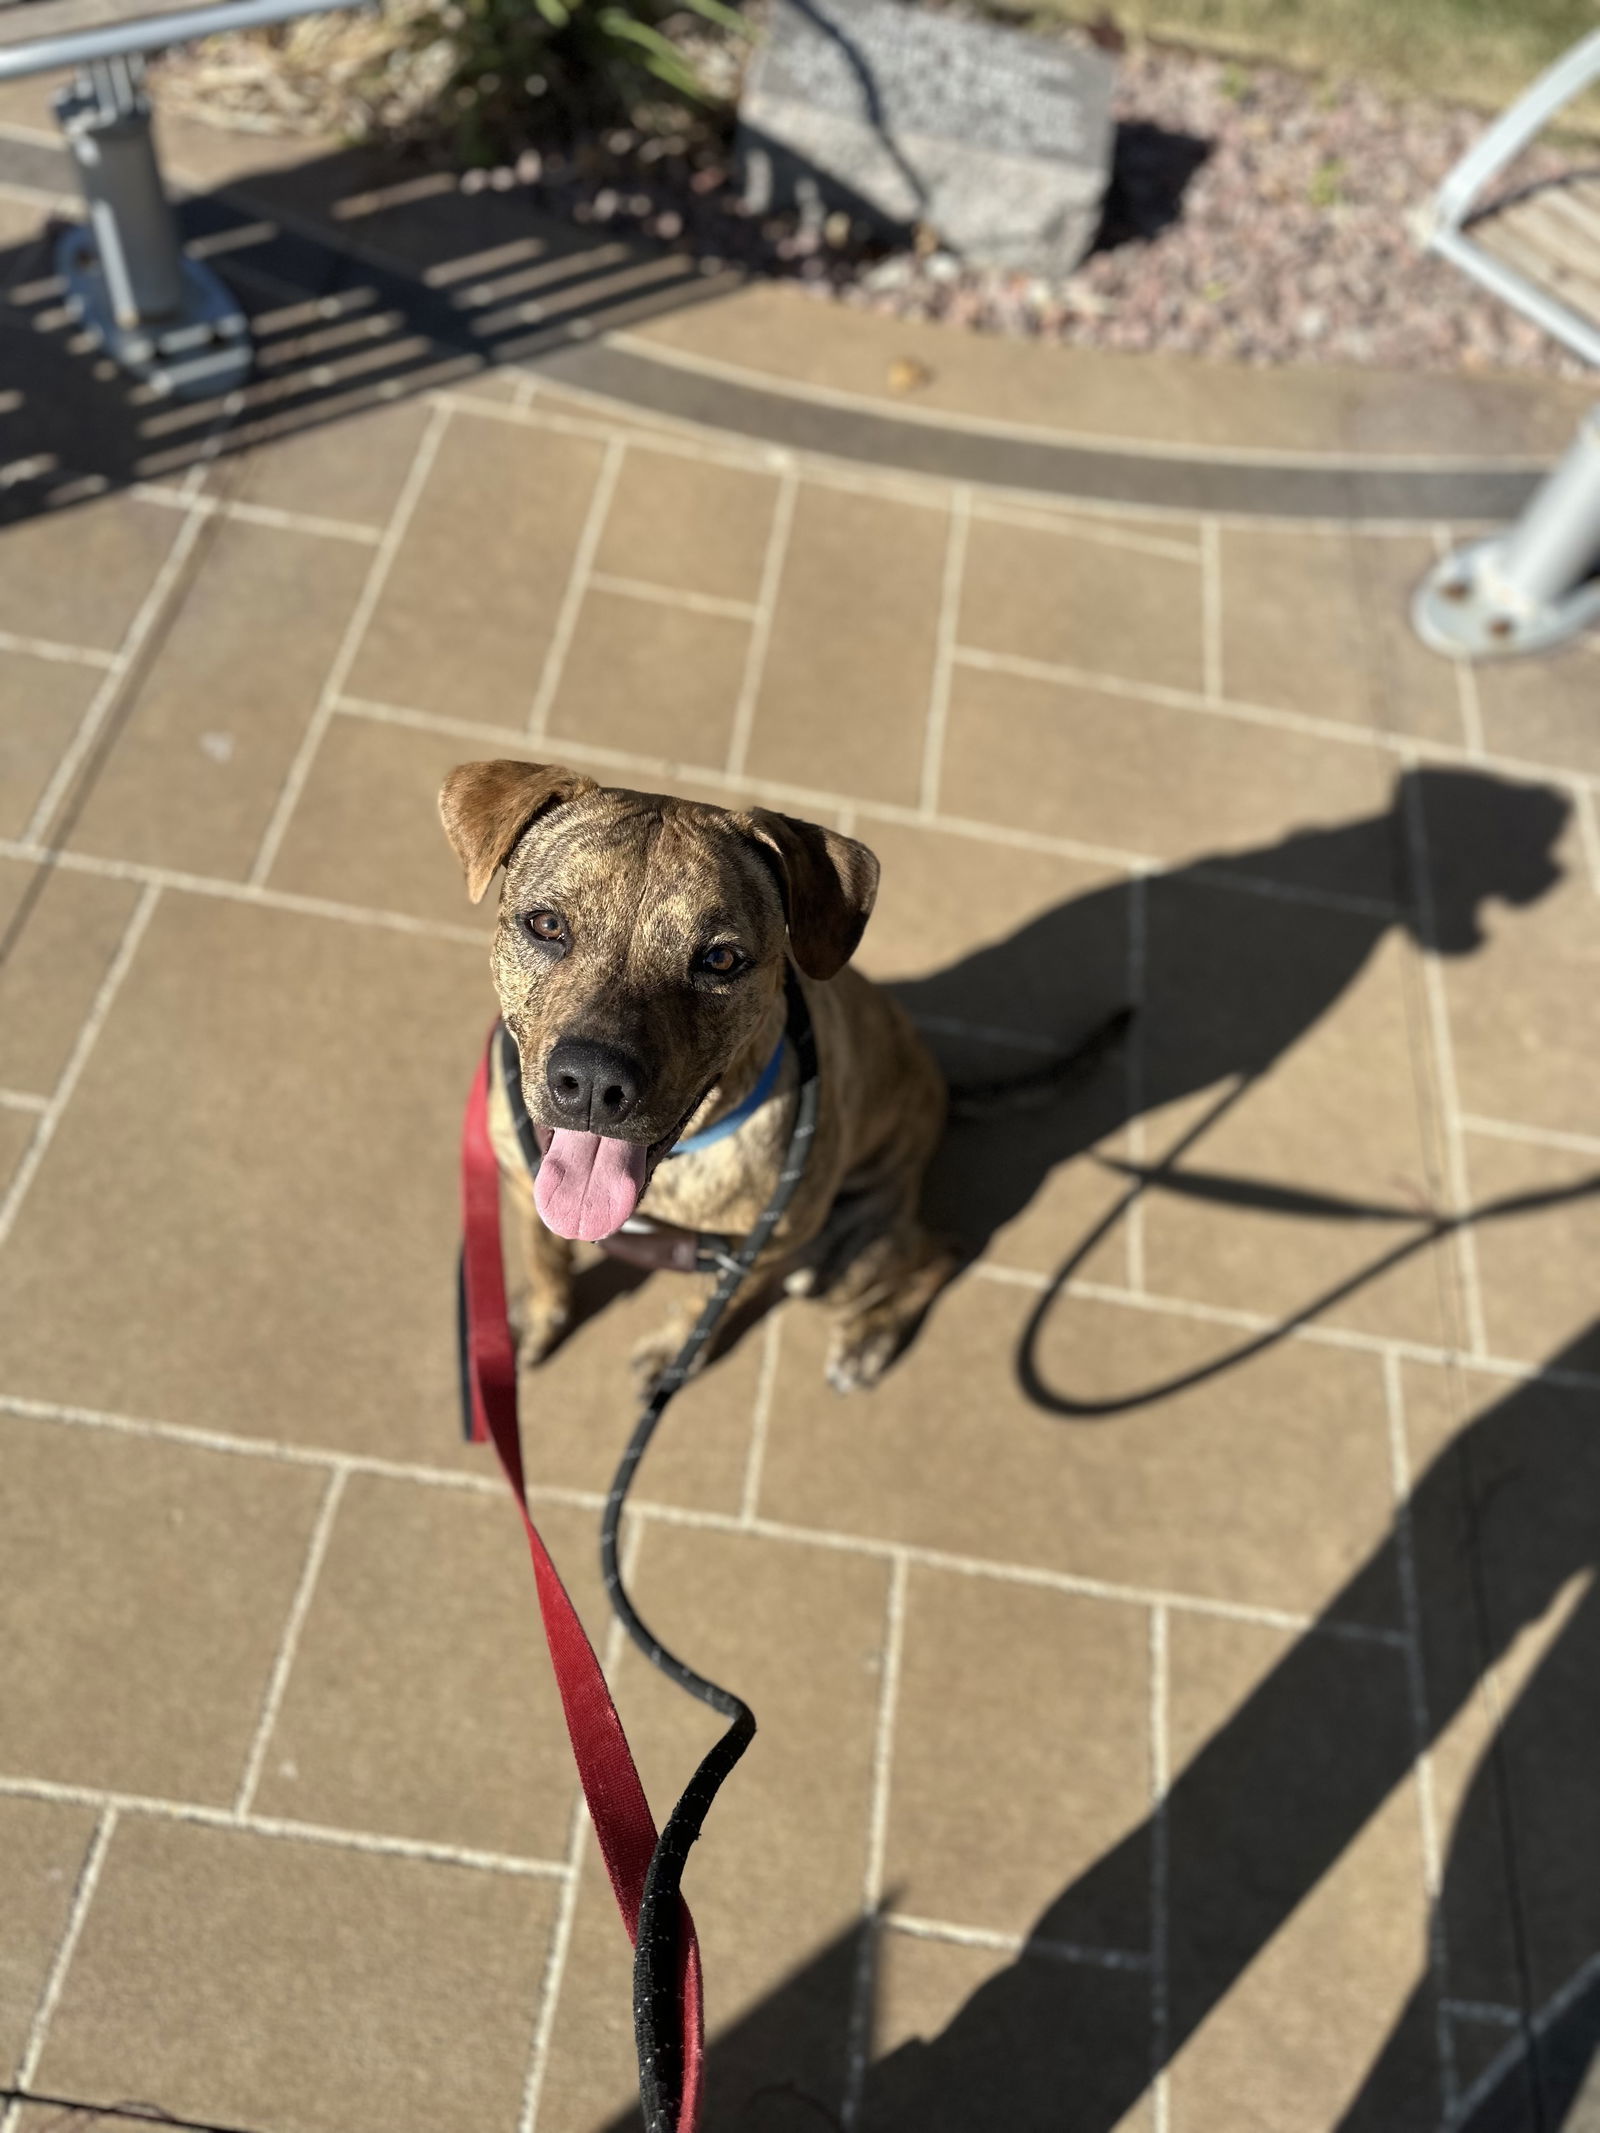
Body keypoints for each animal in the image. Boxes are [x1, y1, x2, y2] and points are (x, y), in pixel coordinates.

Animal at [439, 763, 960, 1399]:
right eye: (546, 925)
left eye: (720, 960)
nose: (591, 1082)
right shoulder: (520, 1183)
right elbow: (544, 1259)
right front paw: (534, 1321)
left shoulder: (756, 1251)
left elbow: (703, 1306)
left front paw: (672, 1355)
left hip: (848, 1251)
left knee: (936, 1254)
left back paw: (867, 1340)